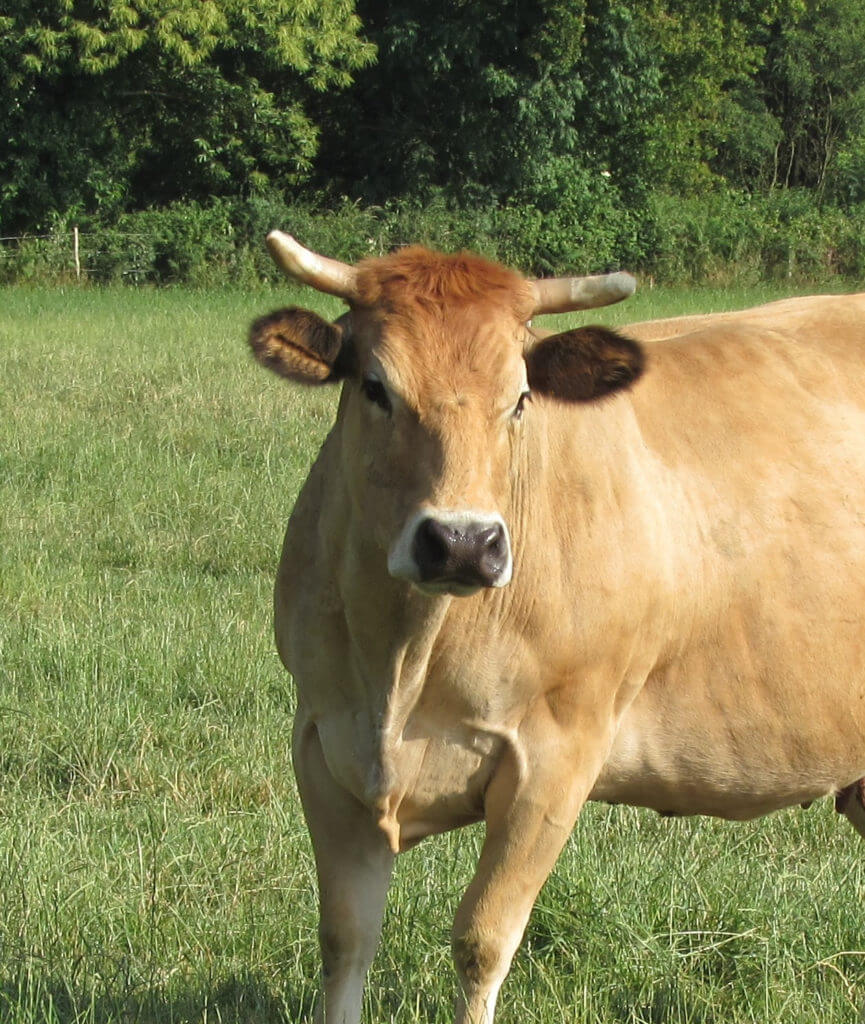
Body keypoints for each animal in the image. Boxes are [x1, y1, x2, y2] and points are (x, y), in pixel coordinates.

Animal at [244, 232, 863, 1024]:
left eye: (520, 399)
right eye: (376, 388)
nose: (462, 542)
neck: (402, 664)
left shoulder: (558, 752)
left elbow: (482, 940)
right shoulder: (325, 747)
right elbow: (345, 939)